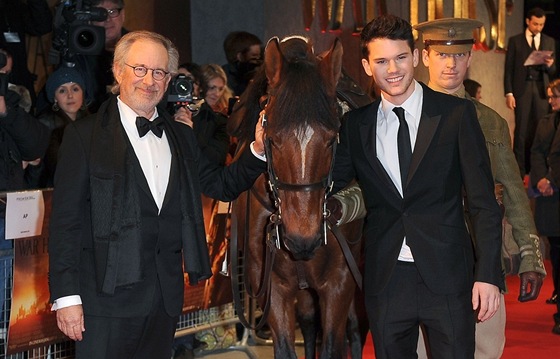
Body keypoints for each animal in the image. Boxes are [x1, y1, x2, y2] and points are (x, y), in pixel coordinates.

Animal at [230, 36, 366, 359]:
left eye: (331, 139)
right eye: (273, 139)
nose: (301, 238)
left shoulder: (339, 282)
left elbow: (333, 343)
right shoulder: (272, 286)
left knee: (352, 327)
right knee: (307, 319)